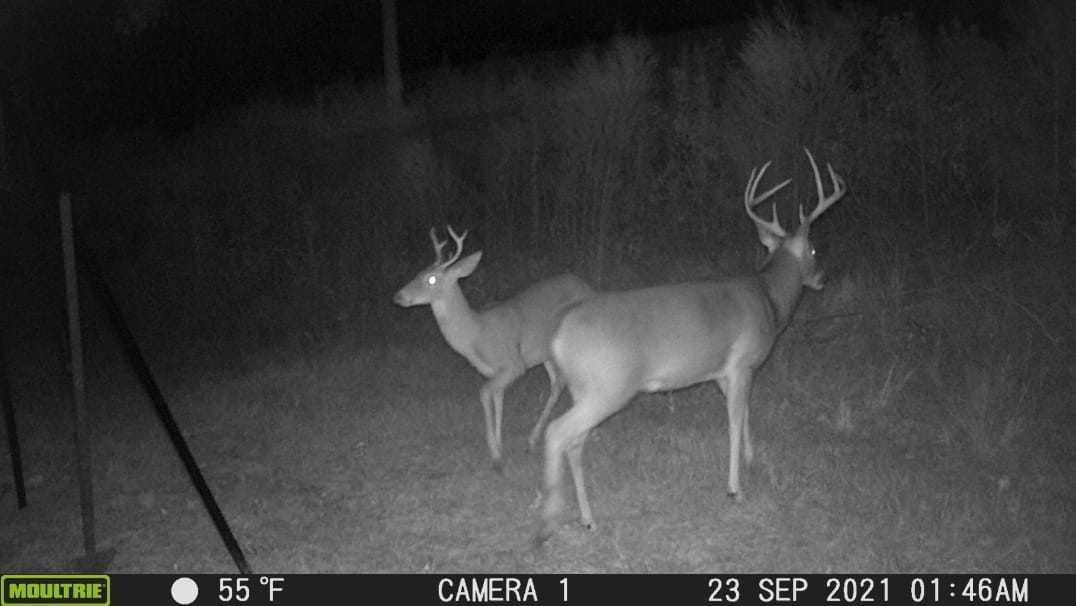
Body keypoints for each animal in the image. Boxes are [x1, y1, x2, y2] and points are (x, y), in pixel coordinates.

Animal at [394, 226, 594, 470]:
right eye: (417, 272)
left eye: (431, 278)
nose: (398, 296)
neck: (476, 334)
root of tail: (589, 288)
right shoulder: (494, 372)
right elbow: (497, 399)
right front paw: (499, 447)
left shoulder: (513, 364)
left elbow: (484, 393)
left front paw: (495, 454)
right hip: (545, 352)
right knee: (558, 383)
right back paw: (533, 439)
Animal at [534, 148, 847, 545]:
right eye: (814, 248)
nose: (822, 278)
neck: (770, 300)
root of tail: (560, 328)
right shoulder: (743, 363)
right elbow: (734, 421)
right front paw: (735, 489)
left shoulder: (722, 374)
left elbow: (746, 413)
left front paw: (751, 459)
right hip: (609, 387)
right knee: (558, 432)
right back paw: (548, 522)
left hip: (583, 388)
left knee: (574, 442)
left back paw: (588, 519)